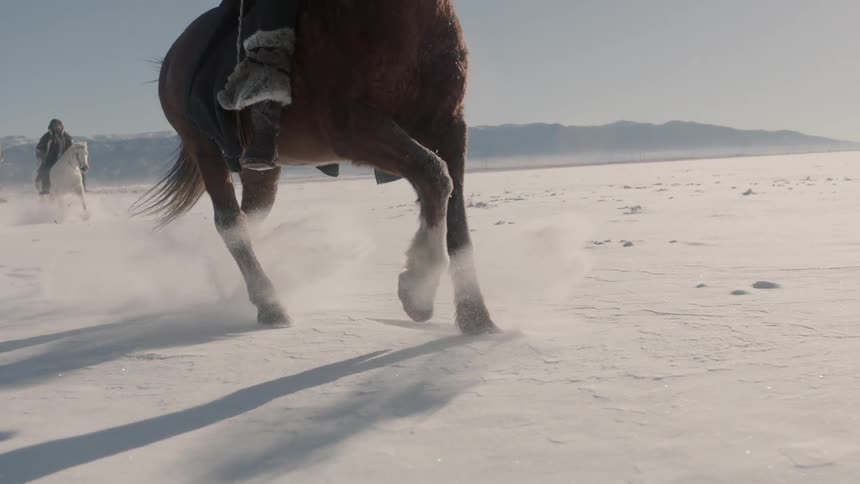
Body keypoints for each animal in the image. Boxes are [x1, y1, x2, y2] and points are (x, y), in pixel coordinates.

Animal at [135, 0, 498, 334]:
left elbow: (457, 220)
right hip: (205, 148)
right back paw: (270, 306)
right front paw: (417, 292)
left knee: (250, 218)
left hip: (262, 168)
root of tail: (172, 58)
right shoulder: (355, 129)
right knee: (230, 224)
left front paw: (476, 319)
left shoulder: (448, 126)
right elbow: (435, 176)